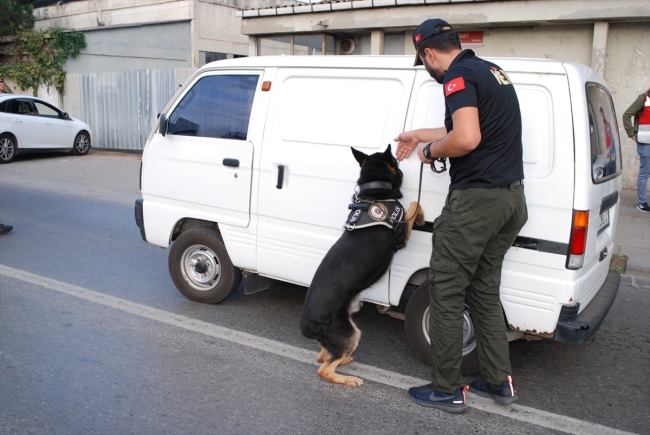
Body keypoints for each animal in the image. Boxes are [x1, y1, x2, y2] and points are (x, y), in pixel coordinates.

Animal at [300, 146, 422, 388]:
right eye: (396, 162)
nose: (401, 164)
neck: (373, 192)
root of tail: (307, 326)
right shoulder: (402, 235)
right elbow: (413, 206)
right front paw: (421, 215)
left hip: (344, 334)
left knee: (323, 356)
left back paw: (344, 360)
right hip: (350, 334)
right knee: (323, 368)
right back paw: (347, 379)